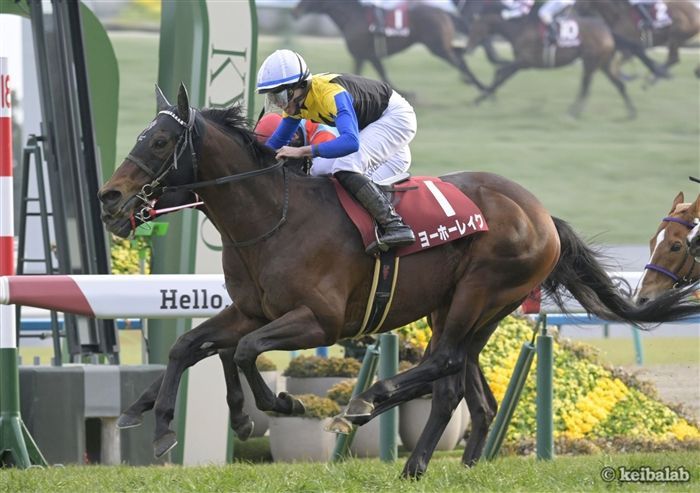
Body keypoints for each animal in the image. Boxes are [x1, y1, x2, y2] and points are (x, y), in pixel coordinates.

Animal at [98, 84, 700, 478]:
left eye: (159, 142)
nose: (109, 198)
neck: (273, 216)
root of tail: (542, 215)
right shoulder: (253, 310)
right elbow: (191, 346)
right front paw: (159, 422)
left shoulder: (319, 321)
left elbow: (243, 351)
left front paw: (280, 406)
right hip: (463, 310)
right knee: (463, 386)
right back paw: (439, 460)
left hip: (480, 292)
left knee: (446, 366)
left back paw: (373, 411)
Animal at [291, 0, 487, 95]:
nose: (295, 11)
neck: (353, 16)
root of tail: (443, 12)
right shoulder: (368, 56)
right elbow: (383, 75)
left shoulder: (364, 55)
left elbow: (380, 76)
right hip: (441, 46)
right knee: (460, 57)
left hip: (437, 47)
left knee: (459, 62)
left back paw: (484, 90)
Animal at [463, 0, 637, 118]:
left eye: (475, 27)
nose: (468, 48)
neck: (518, 27)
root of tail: (608, 31)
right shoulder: (521, 63)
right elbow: (501, 74)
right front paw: (485, 97)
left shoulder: (525, 62)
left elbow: (501, 74)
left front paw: (479, 99)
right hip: (603, 64)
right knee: (619, 85)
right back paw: (631, 114)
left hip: (590, 63)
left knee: (585, 87)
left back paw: (572, 113)